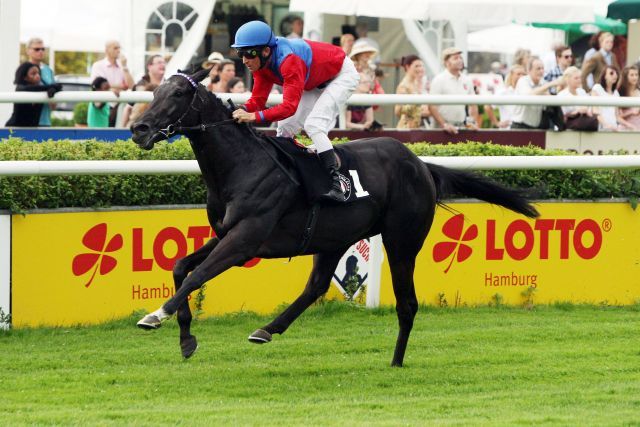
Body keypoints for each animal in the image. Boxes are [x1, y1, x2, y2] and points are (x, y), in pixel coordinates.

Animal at [131, 69, 540, 368]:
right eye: (154, 91)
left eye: (178, 95)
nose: (139, 129)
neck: (241, 166)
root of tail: (421, 164)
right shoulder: (227, 233)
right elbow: (181, 266)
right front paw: (186, 339)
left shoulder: (246, 240)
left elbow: (196, 275)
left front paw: (156, 315)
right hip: (333, 239)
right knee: (315, 287)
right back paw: (267, 329)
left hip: (402, 240)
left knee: (407, 303)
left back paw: (396, 362)